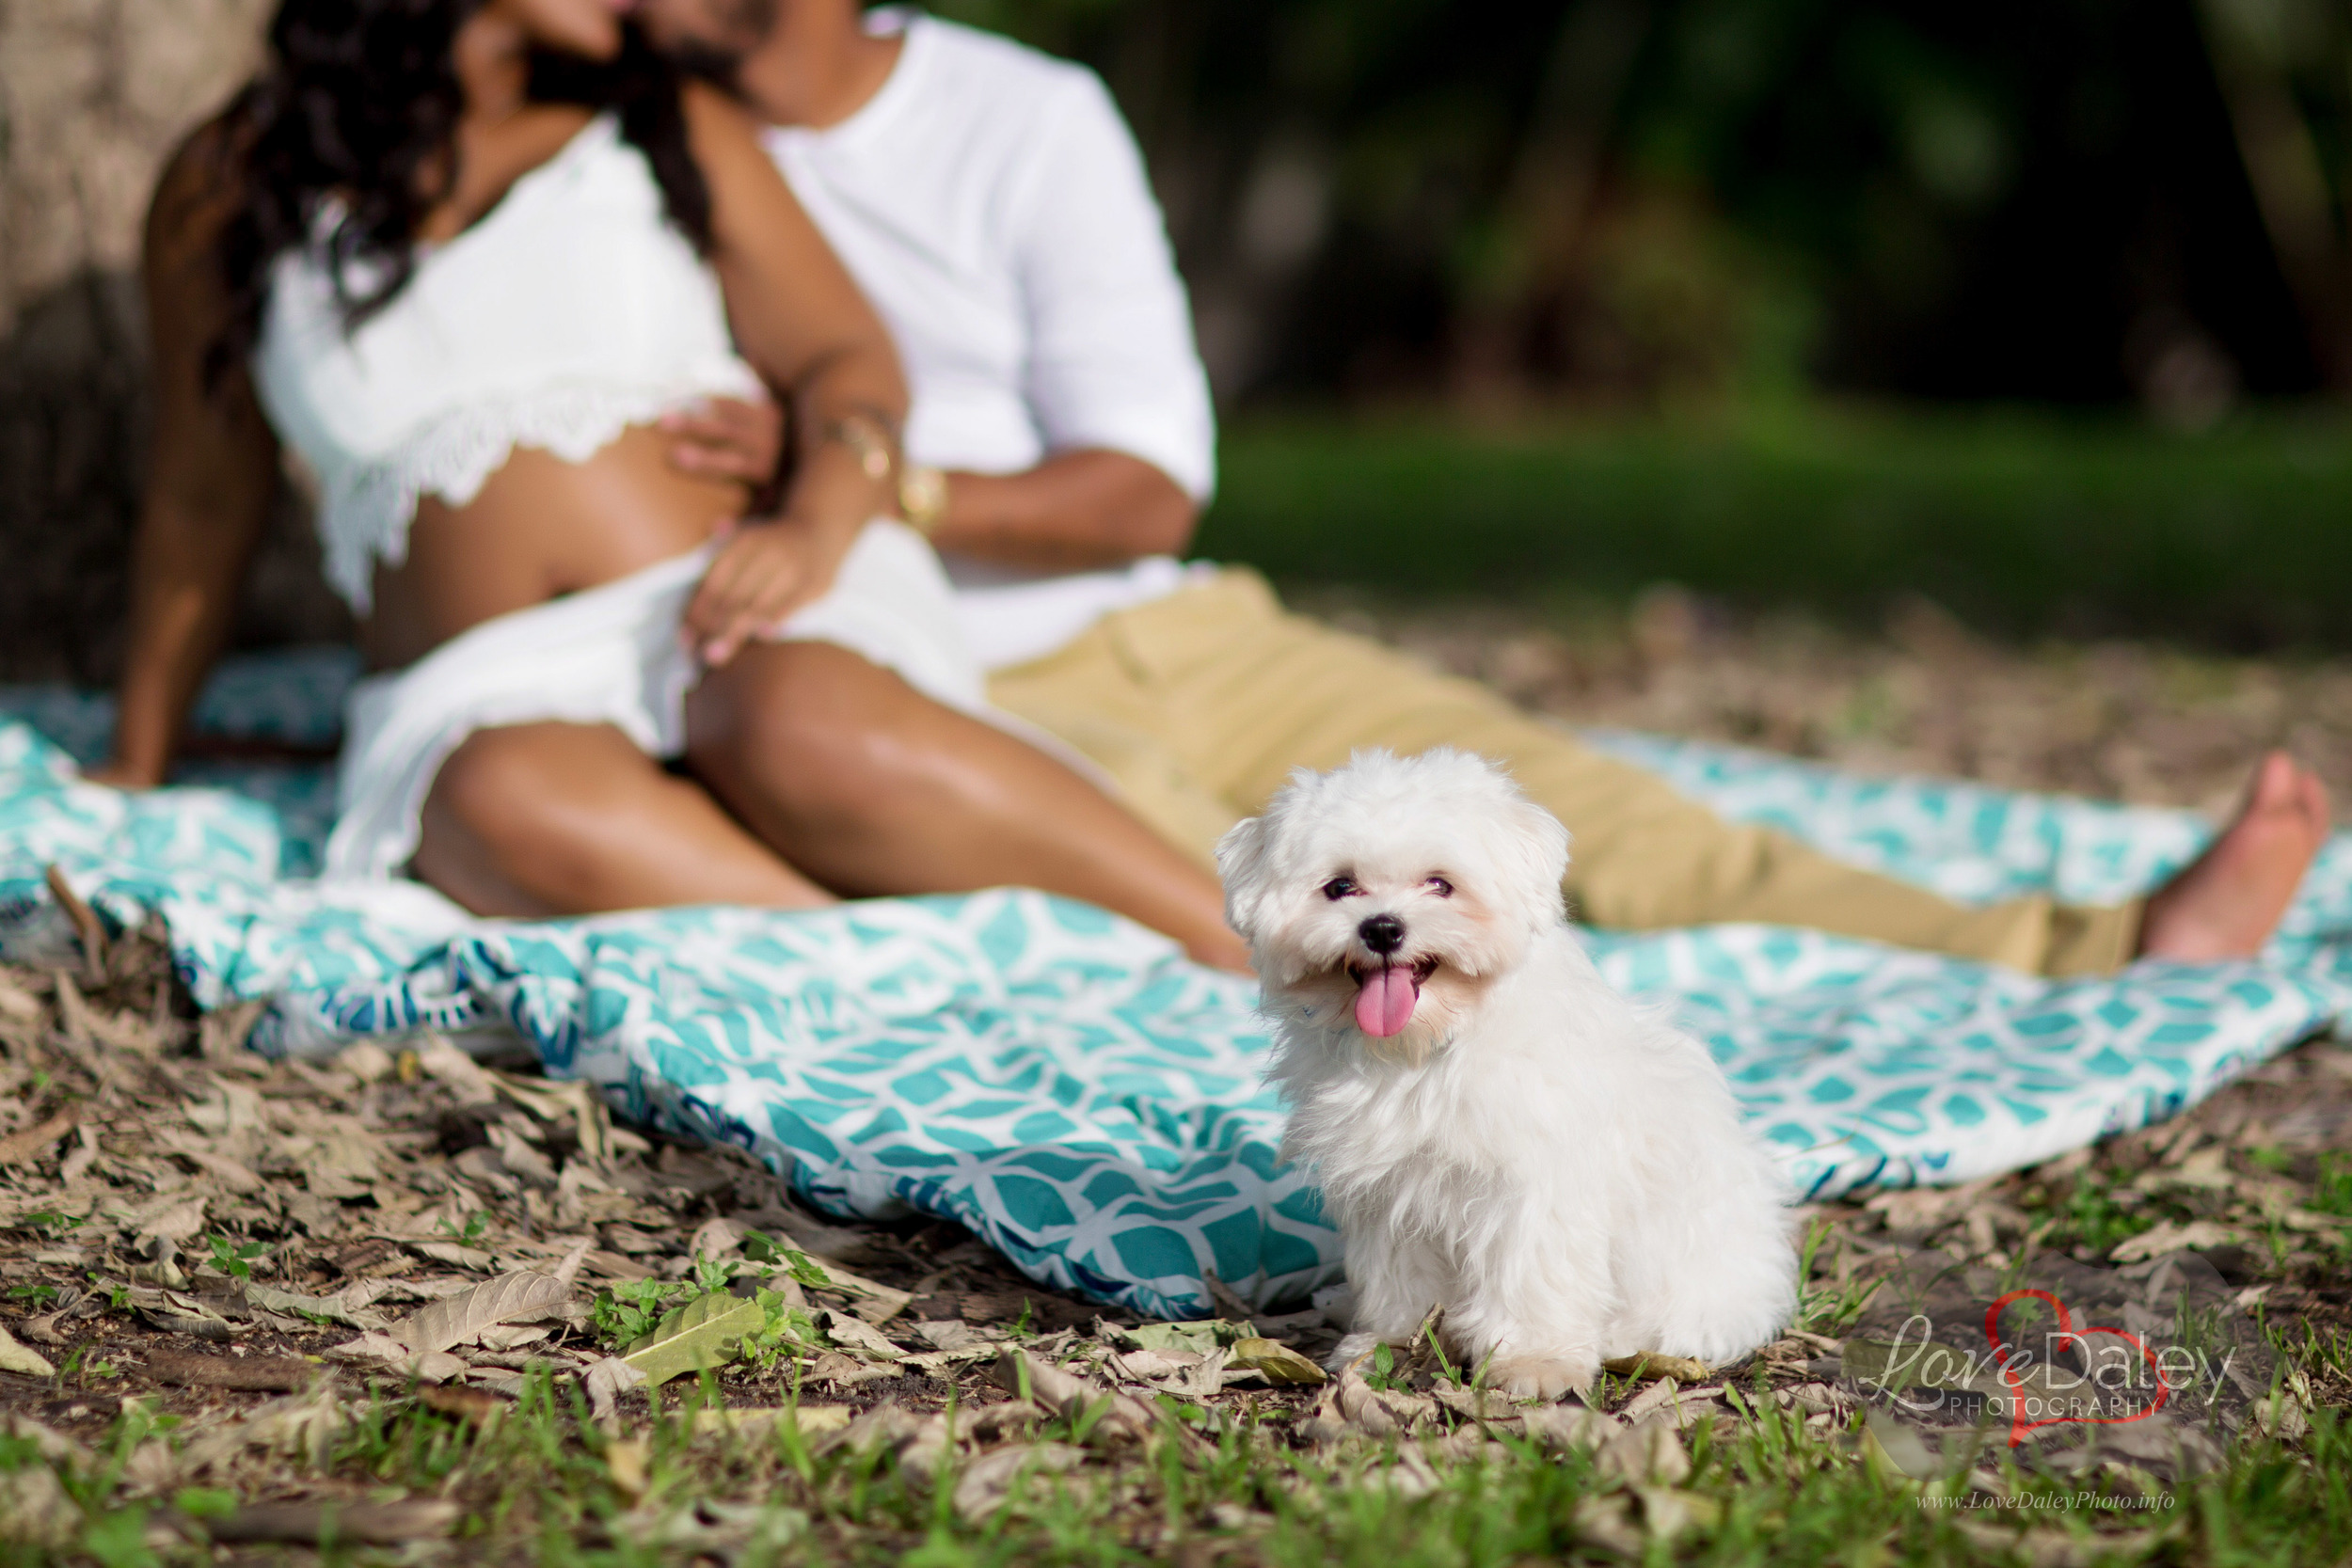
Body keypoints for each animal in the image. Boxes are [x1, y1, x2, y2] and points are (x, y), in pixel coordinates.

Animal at [1223, 747, 1788, 1401]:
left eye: (1440, 884)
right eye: (1339, 887)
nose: (1382, 927)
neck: (1427, 1048)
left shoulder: (1535, 1185)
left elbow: (1532, 1274)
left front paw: (1535, 1361)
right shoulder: (1391, 1191)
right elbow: (1399, 1276)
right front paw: (1392, 1342)